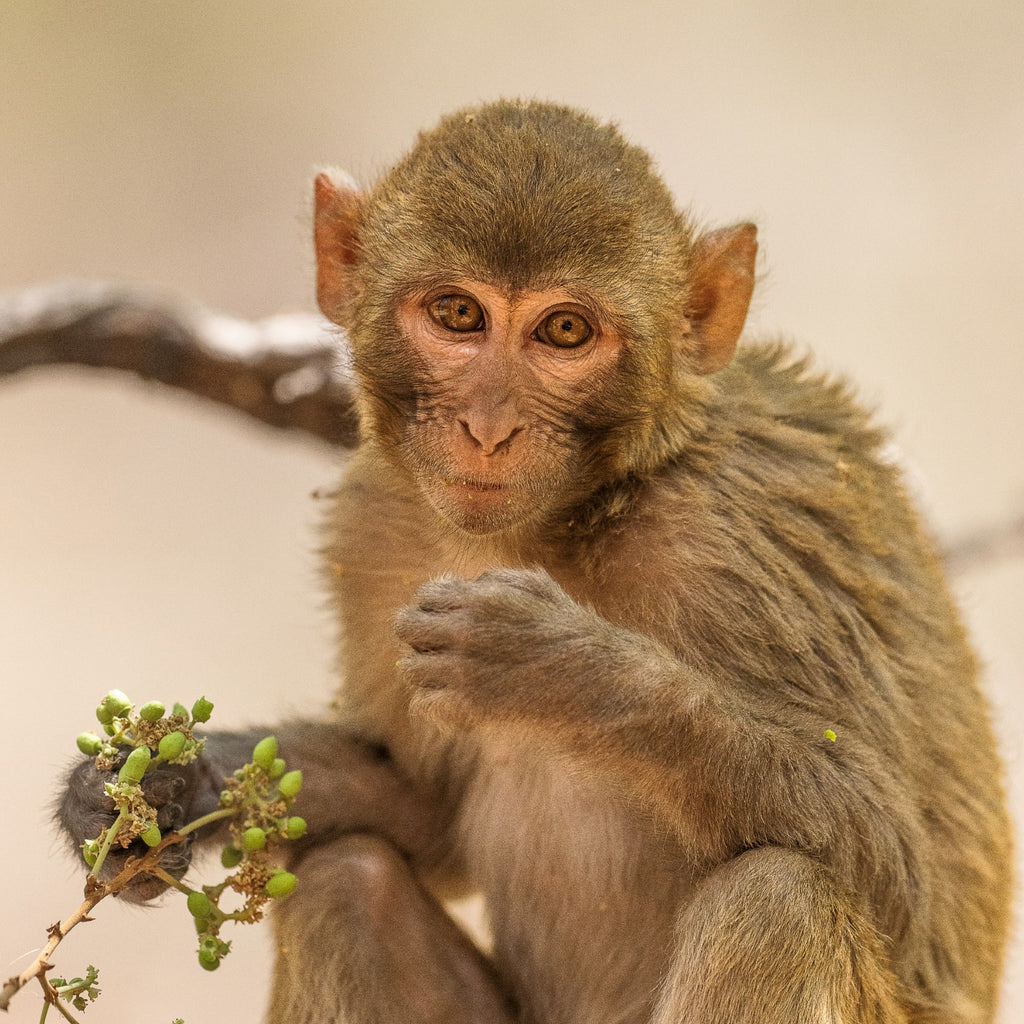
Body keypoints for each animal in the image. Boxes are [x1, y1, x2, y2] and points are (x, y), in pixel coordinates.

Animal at [57, 99, 1013, 1024]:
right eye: (458, 315)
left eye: (564, 331)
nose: (488, 427)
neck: (567, 520)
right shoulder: (373, 530)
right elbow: (429, 822)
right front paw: (164, 785)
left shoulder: (741, 534)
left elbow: (902, 878)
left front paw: (561, 671)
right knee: (348, 884)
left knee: (781, 898)